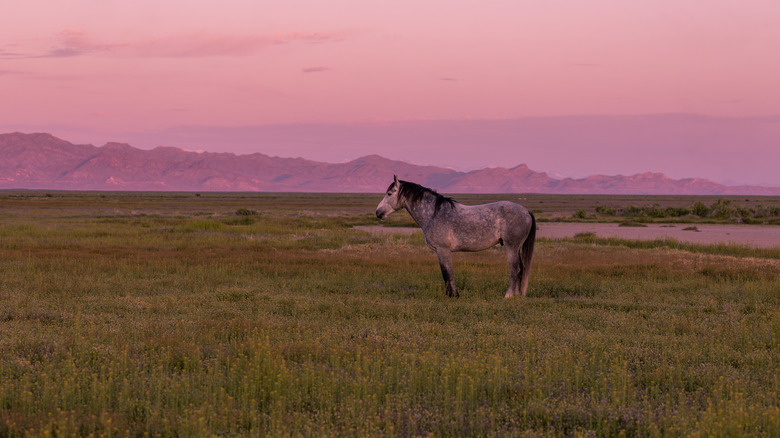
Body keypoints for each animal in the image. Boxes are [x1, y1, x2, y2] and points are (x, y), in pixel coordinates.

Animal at [374, 175, 532, 298]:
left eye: (389, 193)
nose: (378, 212)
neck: (433, 214)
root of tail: (526, 211)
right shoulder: (439, 251)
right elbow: (445, 274)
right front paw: (450, 294)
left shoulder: (443, 249)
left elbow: (448, 273)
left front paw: (453, 295)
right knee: (520, 269)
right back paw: (517, 295)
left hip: (511, 247)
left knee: (515, 269)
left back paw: (508, 295)